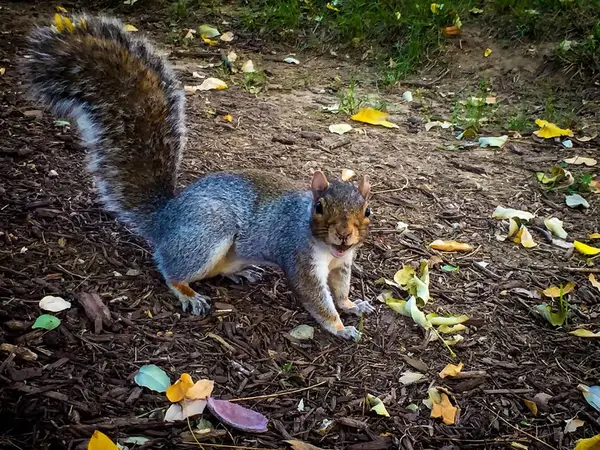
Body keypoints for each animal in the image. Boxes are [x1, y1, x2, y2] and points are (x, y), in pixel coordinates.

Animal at [24, 14, 376, 340]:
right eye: (320, 208)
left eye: (368, 211)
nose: (344, 234)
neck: (329, 250)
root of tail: (165, 219)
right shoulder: (299, 257)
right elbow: (316, 299)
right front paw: (340, 327)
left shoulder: (343, 264)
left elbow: (340, 291)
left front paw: (353, 305)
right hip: (207, 233)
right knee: (170, 268)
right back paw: (187, 292)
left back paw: (238, 274)